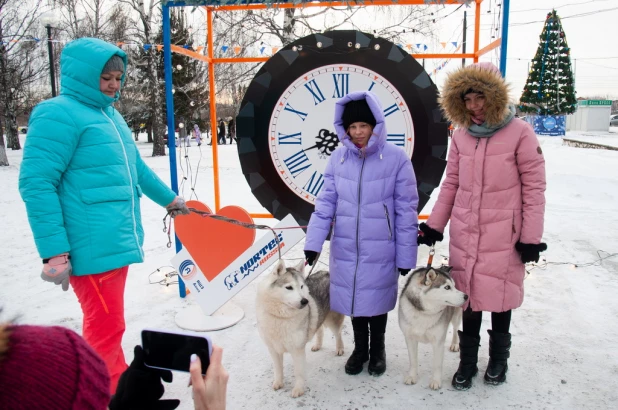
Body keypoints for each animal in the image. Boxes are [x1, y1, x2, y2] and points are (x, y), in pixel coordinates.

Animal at [254, 260, 344, 398]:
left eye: (301, 286)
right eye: (289, 287)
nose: (304, 301)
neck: (281, 317)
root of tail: (328, 272)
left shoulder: (297, 350)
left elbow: (299, 372)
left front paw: (298, 389)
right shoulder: (273, 349)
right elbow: (278, 369)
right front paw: (278, 382)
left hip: (332, 320)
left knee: (338, 333)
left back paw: (339, 348)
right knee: (319, 329)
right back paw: (317, 345)